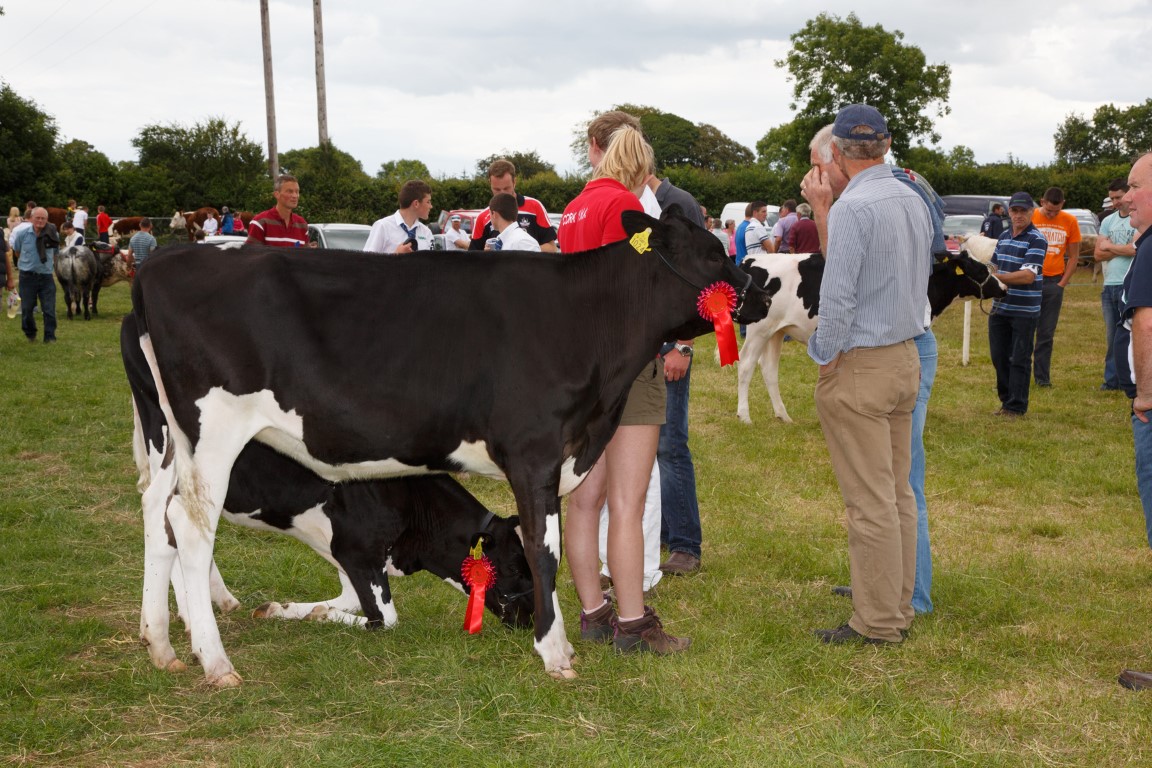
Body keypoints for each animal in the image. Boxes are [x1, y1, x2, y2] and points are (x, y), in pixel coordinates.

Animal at [126, 207, 770, 686]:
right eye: (711, 253)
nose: (762, 288)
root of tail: (160, 262)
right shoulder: (533, 452)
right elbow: (546, 549)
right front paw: (554, 651)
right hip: (215, 429)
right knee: (191, 525)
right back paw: (215, 662)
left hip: (167, 437)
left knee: (157, 512)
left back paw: (161, 643)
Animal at [735, 250, 1008, 424]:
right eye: (979, 269)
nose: (1004, 288)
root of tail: (752, 258)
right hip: (759, 329)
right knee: (746, 365)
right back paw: (744, 416)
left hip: (777, 332)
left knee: (769, 370)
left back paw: (783, 416)